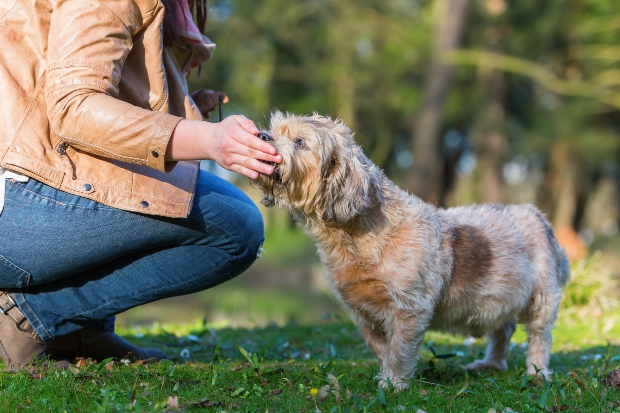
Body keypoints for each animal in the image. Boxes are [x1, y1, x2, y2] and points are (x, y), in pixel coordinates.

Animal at [251, 111, 568, 388]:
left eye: (300, 142)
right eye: (275, 130)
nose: (262, 136)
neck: (356, 238)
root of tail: (537, 215)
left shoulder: (409, 308)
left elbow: (400, 349)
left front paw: (394, 382)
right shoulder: (361, 311)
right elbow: (380, 347)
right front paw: (386, 374)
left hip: (541, 299)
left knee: (538, 337)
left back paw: (537, 373)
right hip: (499, 298)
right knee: (503, 330)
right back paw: (491, 364)